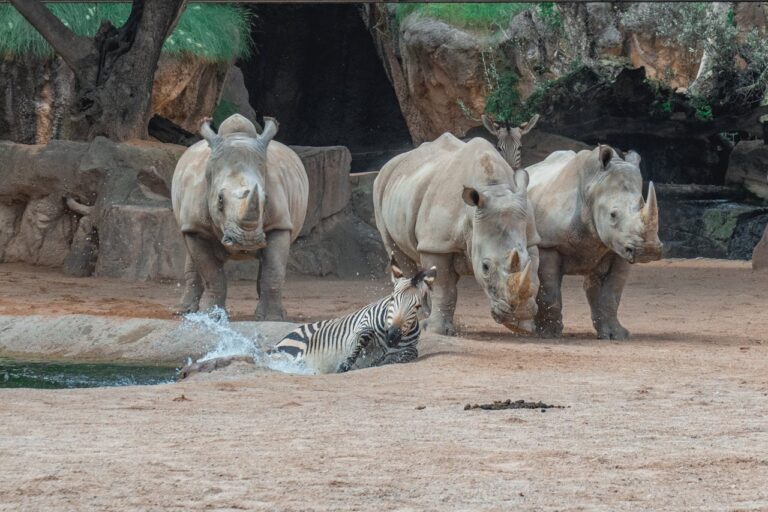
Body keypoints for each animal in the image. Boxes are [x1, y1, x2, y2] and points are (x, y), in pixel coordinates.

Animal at [272, 255, 436, 372]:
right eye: (392, 298)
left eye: (417, 306)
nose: (393, 336)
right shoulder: (355, 333)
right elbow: (365, 335)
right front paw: (345, 365)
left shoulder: (408, 349)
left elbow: (409, 353)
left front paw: (376, 362)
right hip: (292, 349)